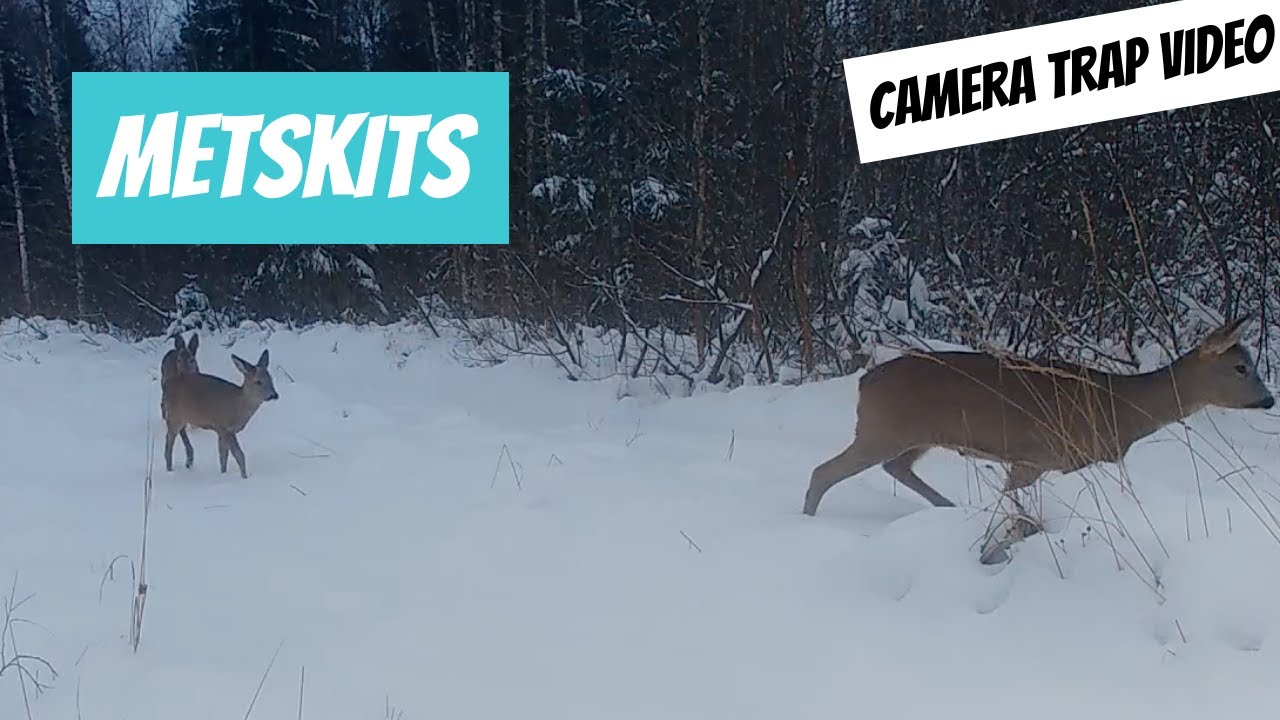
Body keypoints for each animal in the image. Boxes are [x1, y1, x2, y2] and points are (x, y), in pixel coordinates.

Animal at [162, 349, 279, 479]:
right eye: (258, 381)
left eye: (270, 378)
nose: (274, 395)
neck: (238, 406)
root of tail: (167, 385)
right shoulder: (225, 427)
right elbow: (239, 455)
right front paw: (244, 477)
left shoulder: (221, 431)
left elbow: (223, 456)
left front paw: (223, 473)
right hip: (175, 416)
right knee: (169, 442)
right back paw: (170, 470)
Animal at [802, 317, 1275, 564]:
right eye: (1240, 368)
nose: (1269, 399)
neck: (1121, 406)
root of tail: (864, 382)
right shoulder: (1038, 455)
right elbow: (1016, 504)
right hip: (883, 429)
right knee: (825, 471)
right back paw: (806, 523)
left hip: (911, 436)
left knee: (896, 467)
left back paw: (949, 508)